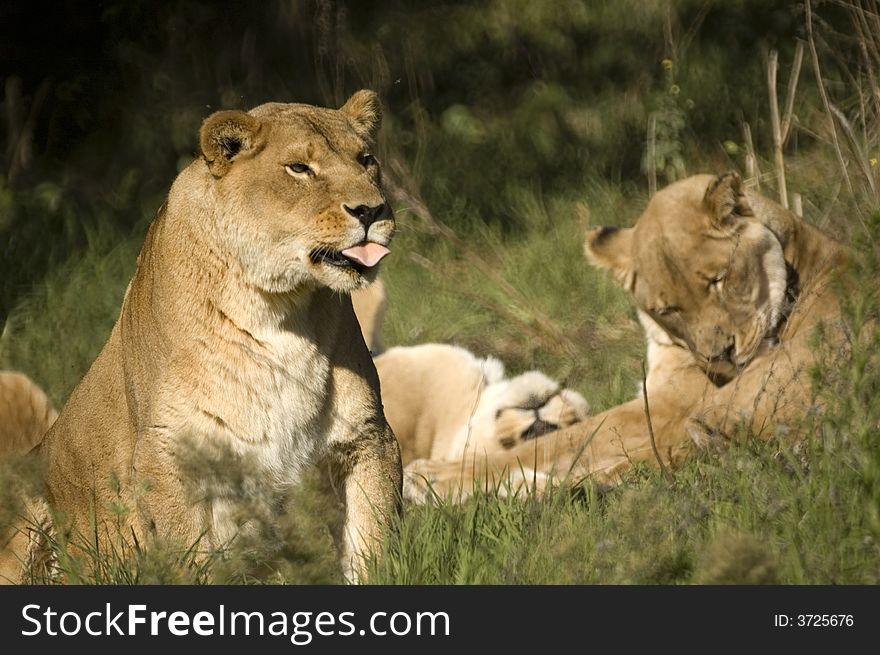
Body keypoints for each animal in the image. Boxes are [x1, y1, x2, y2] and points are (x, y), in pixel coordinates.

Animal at [404, 172, 844, 500]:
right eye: (668, 310)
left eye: (718, 280)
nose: (720, 355)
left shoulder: (668, 407)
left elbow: (565, 440)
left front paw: (433, 476)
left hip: (718, 410)